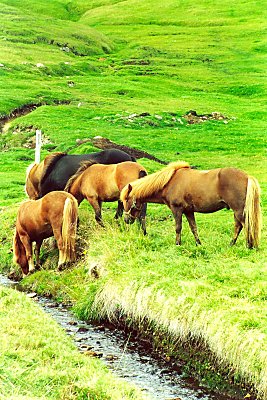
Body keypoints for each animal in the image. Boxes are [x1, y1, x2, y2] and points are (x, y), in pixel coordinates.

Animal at [120, 161, 262, 248]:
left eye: (127, 200)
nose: (126, 220)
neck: (169, 181)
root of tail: (247, 177)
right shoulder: (189, 211)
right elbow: (193, 227)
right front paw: (199, 244)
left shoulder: (177, 209)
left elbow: (178, 227)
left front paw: (177, 244)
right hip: (237, 212)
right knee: (238, 227)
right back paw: (232, 244)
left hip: (238, 211)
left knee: (246, 225)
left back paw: (249, 246)